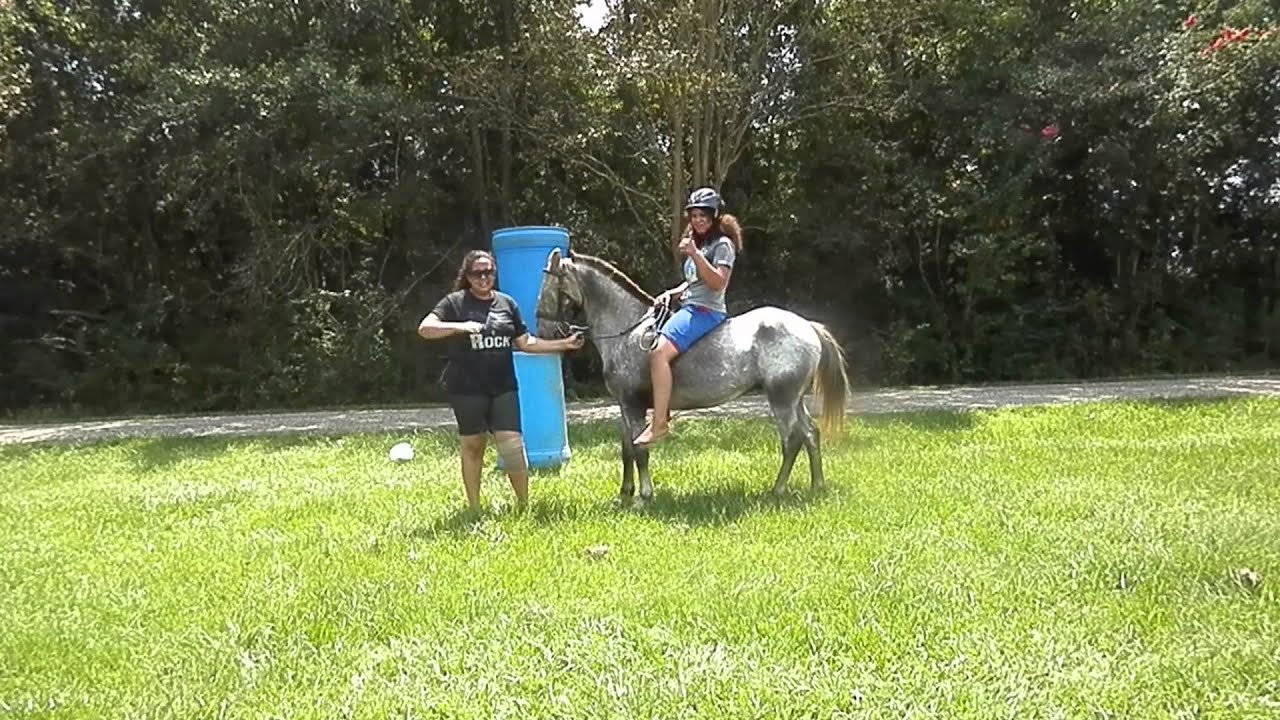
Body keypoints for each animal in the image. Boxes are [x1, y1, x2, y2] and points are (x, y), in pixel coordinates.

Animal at [535, 248, 851, 505]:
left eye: (549, 287)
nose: (544, 333)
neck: (629, 330)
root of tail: (807, 326)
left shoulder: (634, 406)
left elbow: (639, 450)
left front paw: (643, 497)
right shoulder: (625, 406)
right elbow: (626, 449)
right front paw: (624, 494)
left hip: (781, 399)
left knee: (792, 439)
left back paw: (778, 489)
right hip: (795, 399)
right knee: (810, 434)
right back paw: (817, 485)